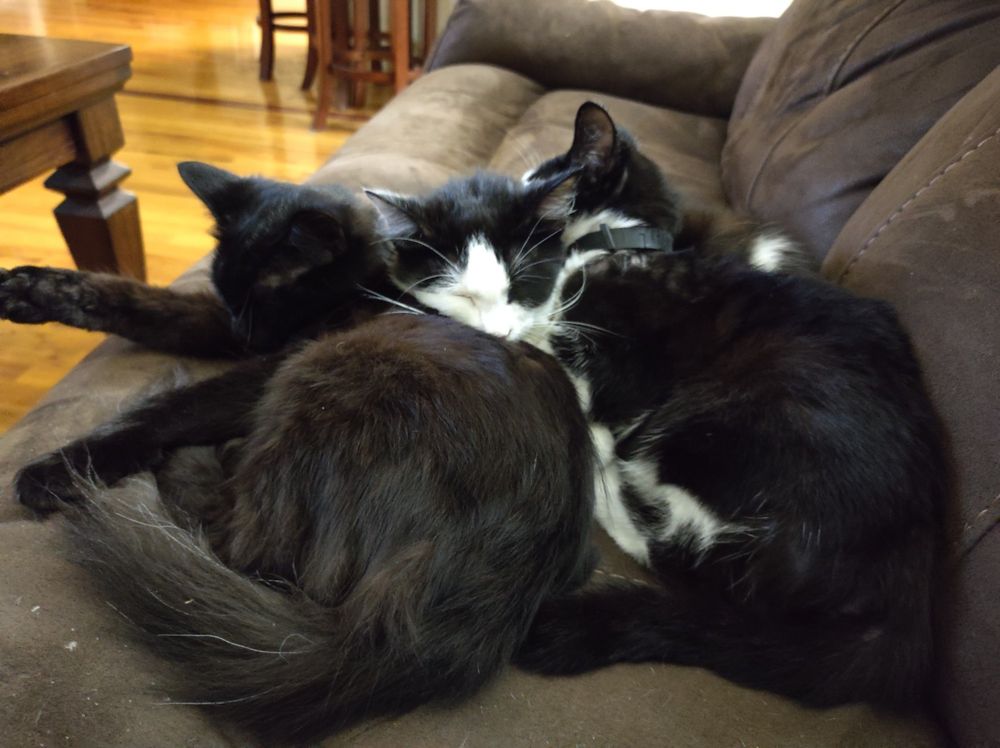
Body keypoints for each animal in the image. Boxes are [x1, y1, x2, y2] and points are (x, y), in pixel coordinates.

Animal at [4, 163, 597, 744]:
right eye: (227, 292)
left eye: (268, 295)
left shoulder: (267, 366)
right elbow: (150, 302)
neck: (369, 279)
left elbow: (176, 405)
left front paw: (59, 466)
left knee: (240, 540)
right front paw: (34, 289)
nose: (245, 333)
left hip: (319, 373)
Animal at [363, 102, 948, 707]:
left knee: (689, 562)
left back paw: (602, 478)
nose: (517, 184)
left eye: (543, 176)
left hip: (722, 432)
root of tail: (905, 589)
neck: (624, 244)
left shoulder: (619, 361)